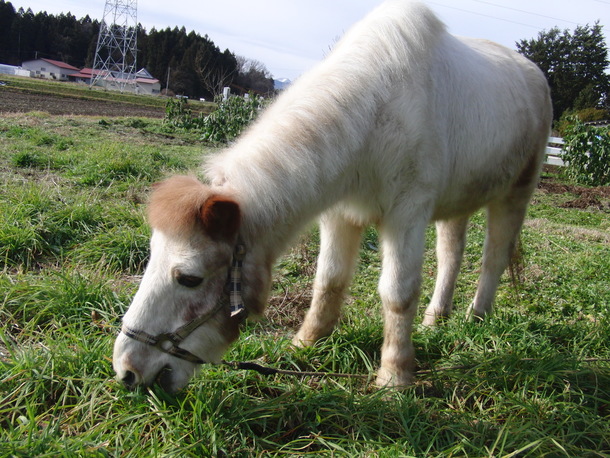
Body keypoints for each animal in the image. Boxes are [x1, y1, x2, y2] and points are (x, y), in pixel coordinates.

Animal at [113, 0, 552, 394]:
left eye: (189, 278)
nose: (126, 370)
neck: (375, 112)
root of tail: (534, 73)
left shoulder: (407, 215)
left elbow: (398, 293)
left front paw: (395, 377)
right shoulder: (340, 214)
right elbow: (329, 280)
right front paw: (306, 343)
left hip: (515, 194)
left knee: (493, 257)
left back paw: (476, 318)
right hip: (457, 203)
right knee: (451, 256)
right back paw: (435, 318)